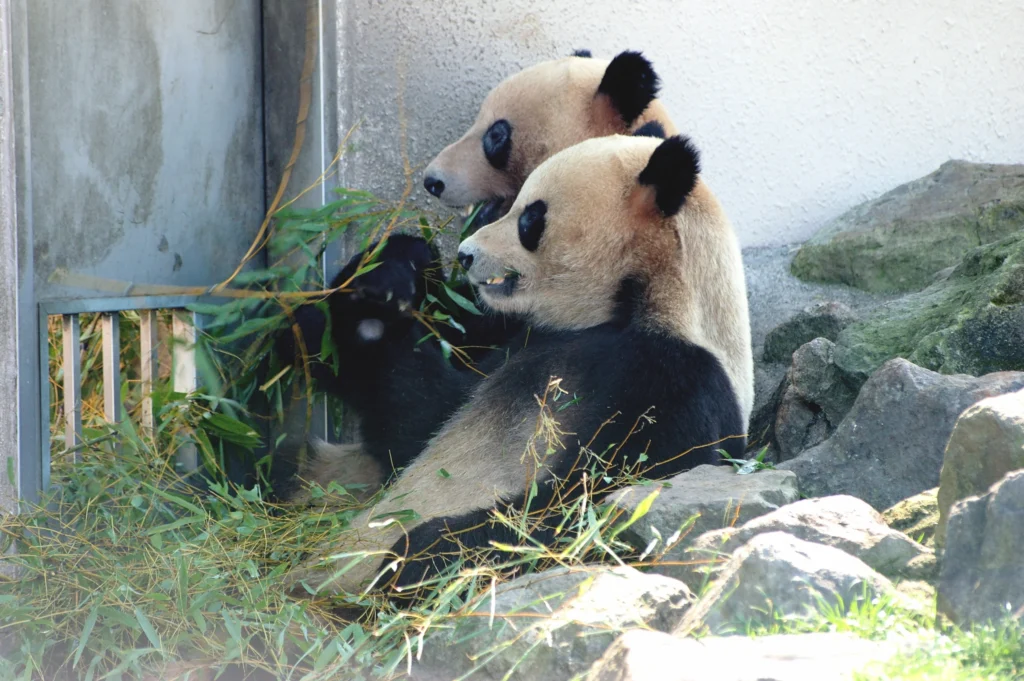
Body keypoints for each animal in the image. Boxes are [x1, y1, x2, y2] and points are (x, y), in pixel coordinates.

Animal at [285, 132, 750, 597]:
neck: (635, 308)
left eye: (530, 218)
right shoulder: (518, 338)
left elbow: (593, 504)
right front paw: (387, 279)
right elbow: (417, 423)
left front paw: (422, 551)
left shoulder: (676, 383)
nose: (466, 254)